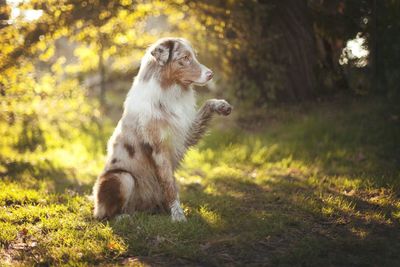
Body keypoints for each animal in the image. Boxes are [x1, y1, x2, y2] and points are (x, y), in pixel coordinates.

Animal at [92, 37, 233, 222]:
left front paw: (221, 105)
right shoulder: (159, 148)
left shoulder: (186, 133)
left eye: (194, 56)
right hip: (122, 177)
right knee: (106, 214)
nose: (211, 74)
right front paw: (178, 216)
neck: (170, 92)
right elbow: (169, 186)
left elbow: (207, 105)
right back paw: (124, 217)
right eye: (185, 58)